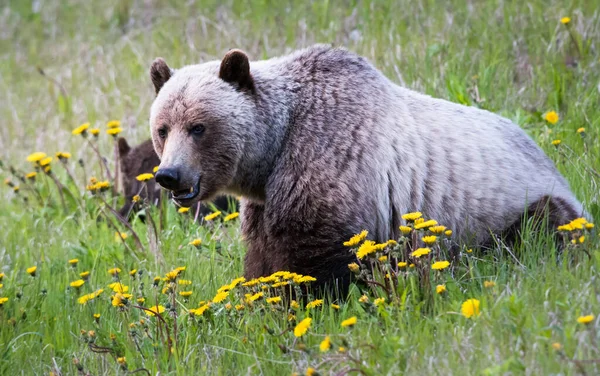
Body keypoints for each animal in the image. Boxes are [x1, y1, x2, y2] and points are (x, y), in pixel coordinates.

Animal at [146, 46, 584, 288]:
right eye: (163, 129)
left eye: (199, 127)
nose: (169, 175)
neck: (273, 152)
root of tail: (542, 152)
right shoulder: (264, 201)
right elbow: (261, 259)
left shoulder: (332, 162)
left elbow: (316, 257)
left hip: (518, 207)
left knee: (542, 228)